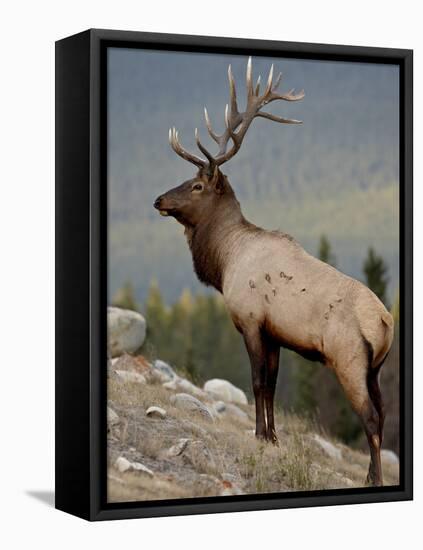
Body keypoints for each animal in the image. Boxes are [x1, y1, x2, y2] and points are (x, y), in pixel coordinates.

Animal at [154, 57, 396, 488]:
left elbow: (257, 382)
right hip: (377, 369)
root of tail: (386, 322)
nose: (159, 200)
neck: (224, 262)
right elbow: (272, 384)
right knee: (383, 413)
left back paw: (375, 479)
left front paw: (260, 436)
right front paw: (273, 437)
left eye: (197, 185)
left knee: (369, 417)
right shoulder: (275, 333)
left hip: (348, 358)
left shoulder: (251, 320)